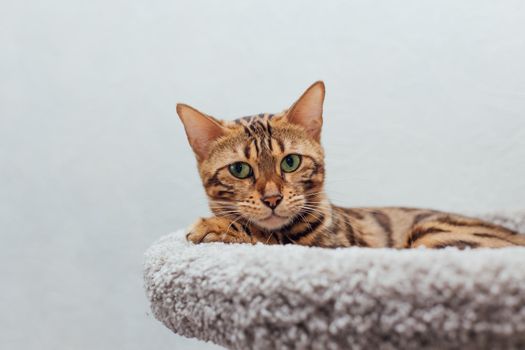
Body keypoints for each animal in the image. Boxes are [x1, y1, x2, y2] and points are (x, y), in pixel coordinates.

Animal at [177, 81, 524, 249]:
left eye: (290, 162)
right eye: (240, 169)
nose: (272, 199)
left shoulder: (333, 248)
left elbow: (266, 237)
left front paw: (214, 226)